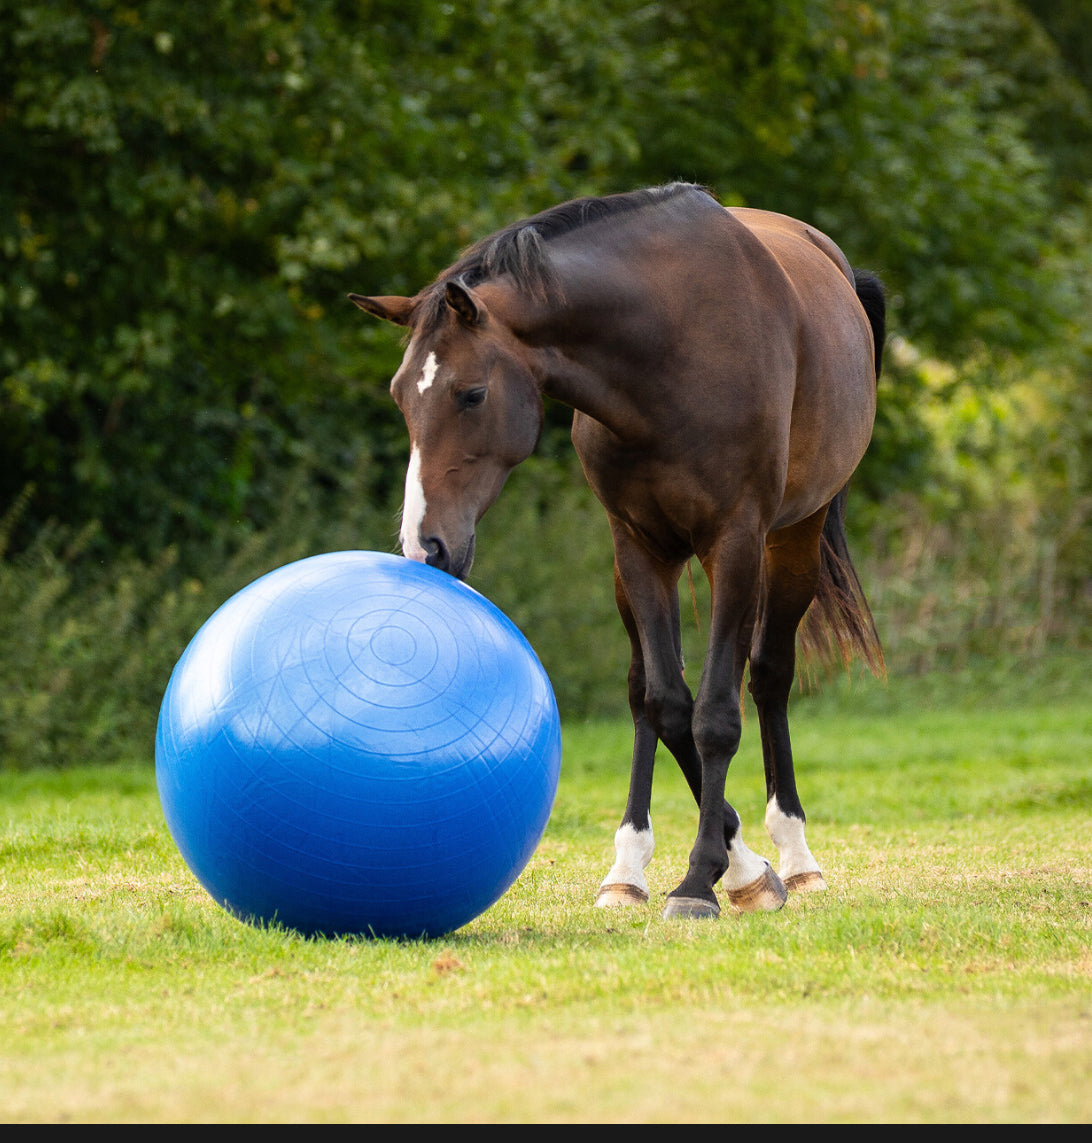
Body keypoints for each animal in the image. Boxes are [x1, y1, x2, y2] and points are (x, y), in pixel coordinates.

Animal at [350, 182, 885, 920]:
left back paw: (797, 856)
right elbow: (668, 703)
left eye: (472, 393)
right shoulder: (638, 548)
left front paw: (702, 881)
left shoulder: (735, 543)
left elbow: (717, 715)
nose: (423, 543)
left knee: (769, 678)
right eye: (402, 396)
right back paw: (631, 867)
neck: (668, 348)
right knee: (644, 693)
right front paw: (735, 867)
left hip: (791, 542)